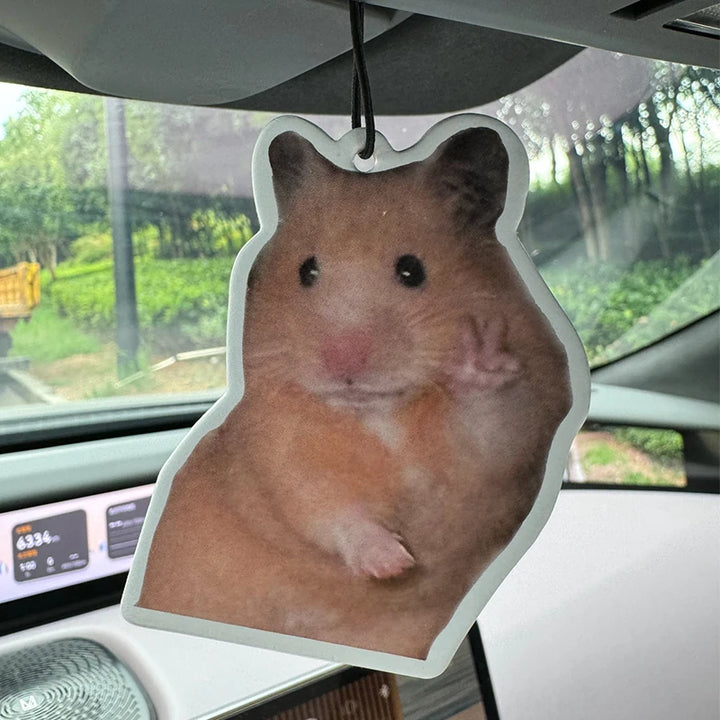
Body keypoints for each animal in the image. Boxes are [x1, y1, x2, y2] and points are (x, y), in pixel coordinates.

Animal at [138, 127, 572, 659]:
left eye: (412, 270)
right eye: (306, 270)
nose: (342, 363)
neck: (377, 415)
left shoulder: (514, 439)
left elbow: (489, 426)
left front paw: (479, 354)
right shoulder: (280, 456)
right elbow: (328, 509)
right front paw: (393, 564)